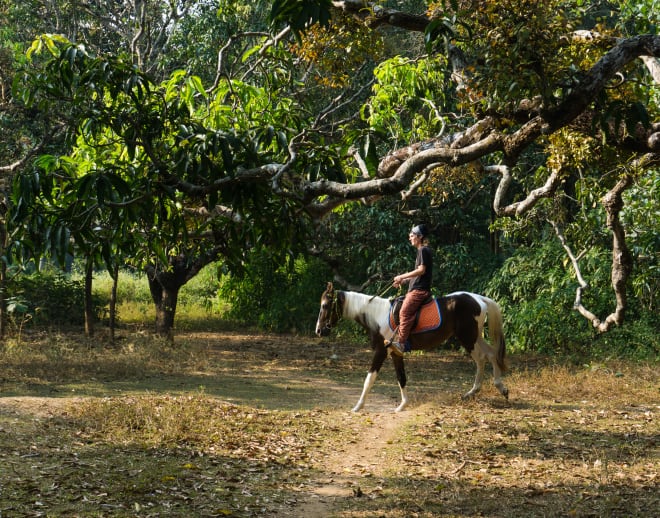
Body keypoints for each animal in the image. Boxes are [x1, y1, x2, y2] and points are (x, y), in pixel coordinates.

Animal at [318, 282, 508, 412]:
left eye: (325, 305)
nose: (319, 330)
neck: (377, 315)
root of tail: (478, 298)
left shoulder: (381, 351)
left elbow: (369, 379)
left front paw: (358, 406)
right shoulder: (395, 353)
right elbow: (401, 377)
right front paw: (402, 405)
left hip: (468, 338)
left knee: (482, 358)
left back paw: (485, 389)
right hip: (474, 337)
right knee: (491, 354)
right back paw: (488, 389)